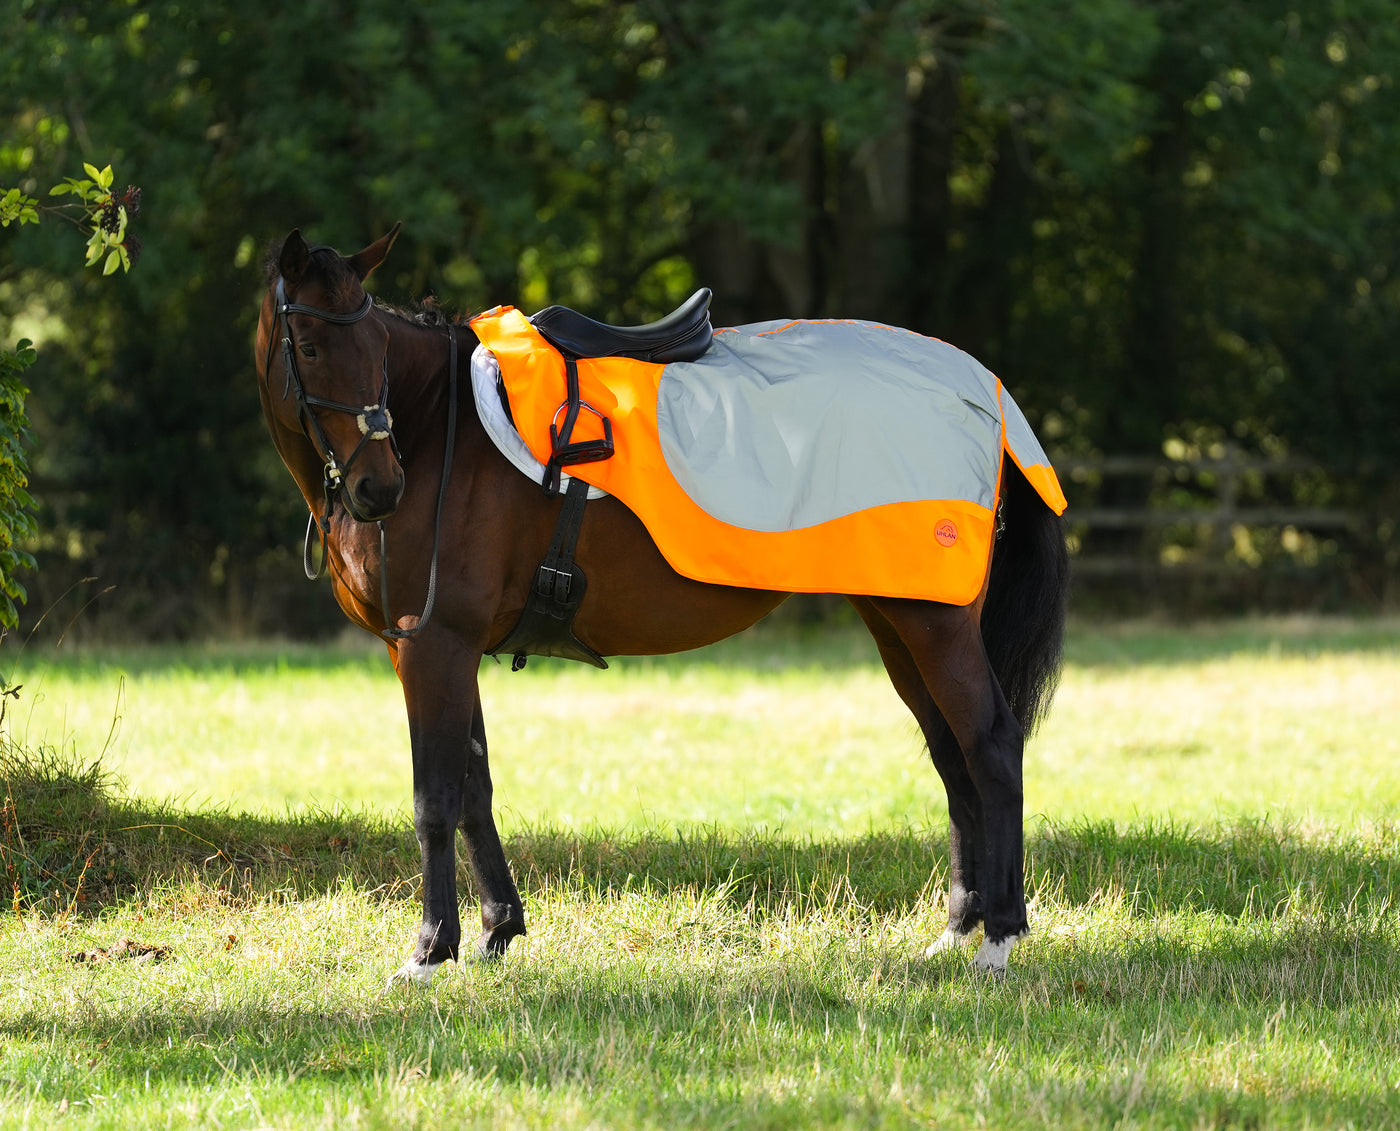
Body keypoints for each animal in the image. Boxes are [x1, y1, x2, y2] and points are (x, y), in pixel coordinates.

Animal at [253, 225, 1069, 984]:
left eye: (374, 349)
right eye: (311, 346)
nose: (378, 488)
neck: (438, 429)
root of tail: (983, 387)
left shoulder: (433, 645)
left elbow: (436, 799)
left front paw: (430, 949)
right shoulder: (448, 650)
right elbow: (476, 787)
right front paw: (496, 931)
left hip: (935, 624)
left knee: (992, 746)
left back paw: (998, 938)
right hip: (899, 618)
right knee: (952, 754)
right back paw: (958, 928)